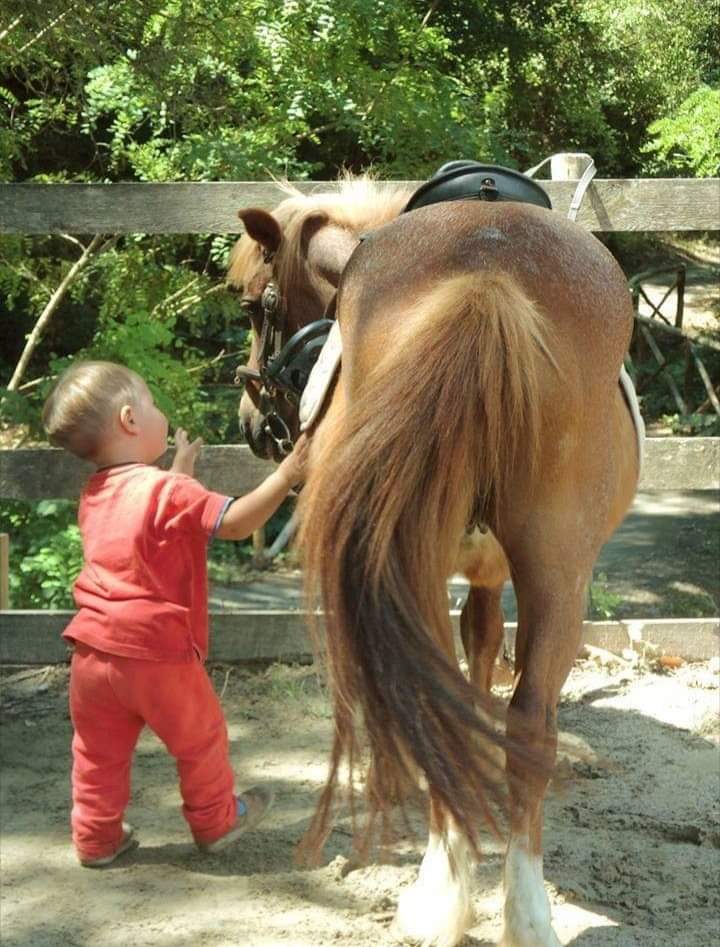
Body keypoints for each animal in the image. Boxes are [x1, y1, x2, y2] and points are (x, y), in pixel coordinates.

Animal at [227, 176, 640, 947]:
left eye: (248, 303)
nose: (252, 425)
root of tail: (488, 269)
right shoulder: (484, 569)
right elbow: (483, 655)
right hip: (559, 569)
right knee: (528, 719)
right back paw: (521, 909)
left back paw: (443, 892)